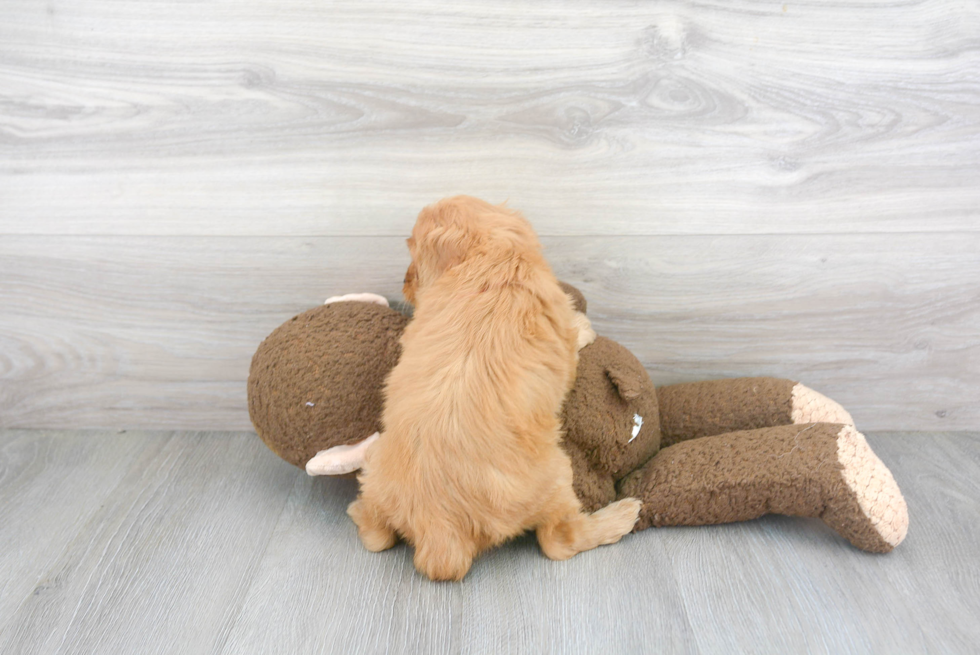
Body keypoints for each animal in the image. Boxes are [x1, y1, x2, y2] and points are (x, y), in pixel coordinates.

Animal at [346, 197, 644, 580]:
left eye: (411, 251)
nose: (404, 284)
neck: (489, 257)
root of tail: (437, 529)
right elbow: (573, 335)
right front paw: (584, 327)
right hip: (558, 476)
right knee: (560, 540)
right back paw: (621, 515)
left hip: (375, 464)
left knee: (376, 536)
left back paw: (357, 511)